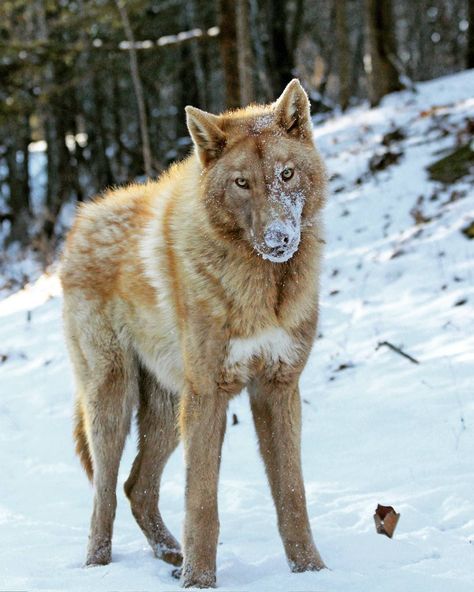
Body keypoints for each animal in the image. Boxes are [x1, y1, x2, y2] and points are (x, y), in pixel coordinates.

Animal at [60, 78, 326, 588]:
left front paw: (312, 571)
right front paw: (199, 582)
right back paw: (99, 567)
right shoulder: (209, 395)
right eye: (242, 183)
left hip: (166, 412)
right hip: (115, 401)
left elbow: (293, 498)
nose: (279, 239)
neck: (263, 289)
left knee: (137, 487)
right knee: (105, 495)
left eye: (285, 175)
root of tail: (83, 218)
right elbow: (202, 505)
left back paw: (170, 556)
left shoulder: (278, 389)